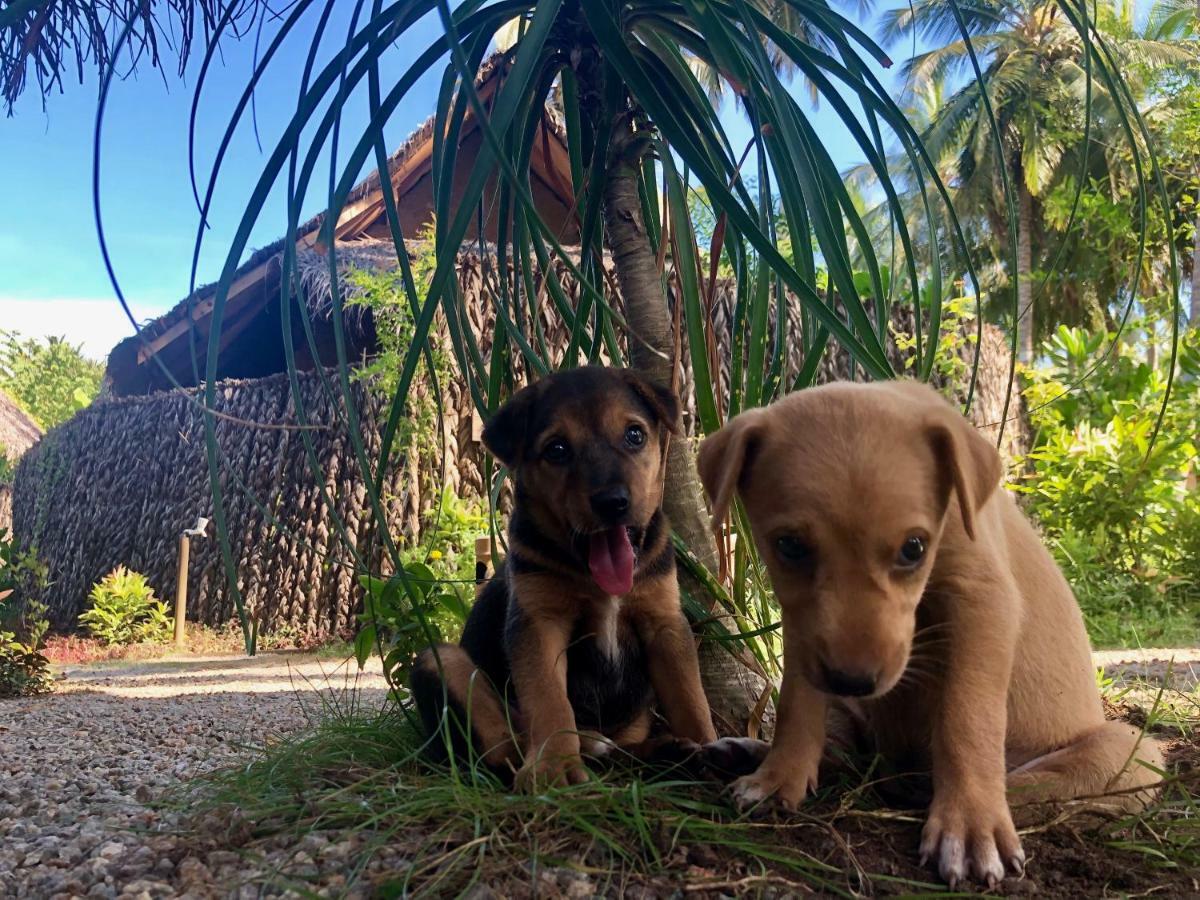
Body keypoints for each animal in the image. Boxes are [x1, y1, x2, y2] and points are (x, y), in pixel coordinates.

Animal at [408, 367, 715, 787]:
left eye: (635, 435)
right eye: (556, 449)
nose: (612, 503)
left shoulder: (665, 622)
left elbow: (690, 697)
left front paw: (714, 748)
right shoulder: (539, 622)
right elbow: (549, 700)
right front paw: (555, 766)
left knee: (619, 752)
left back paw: (662, 751)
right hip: (440, 661)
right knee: (500, 749)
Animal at [696, 381, 1161, 888]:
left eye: (913, 548)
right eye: (790, 546)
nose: (851, 681)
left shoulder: (983, 601)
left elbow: (967, 717)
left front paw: (971, 825)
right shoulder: (802, 622)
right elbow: (797, 703)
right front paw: (778, 776)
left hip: (1132, 752)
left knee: (1033, 785)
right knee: (845, 755)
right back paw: (749, 751)